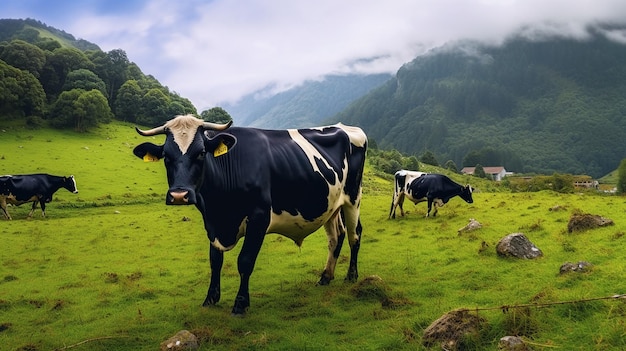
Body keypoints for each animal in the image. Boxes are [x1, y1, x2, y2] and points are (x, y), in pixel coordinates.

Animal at [132, 115, 366, 316]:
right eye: (166, 156)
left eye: (201, 153)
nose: (179, 195)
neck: (219, 210)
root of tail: (344, 127)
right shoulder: (212, 224)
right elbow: (215, 261)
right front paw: (210, 299)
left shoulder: (259, 219)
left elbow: (245, 261)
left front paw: (240, 304)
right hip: (330, 204)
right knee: (336, 236)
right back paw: (325, 277)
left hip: (353, 197)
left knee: (354, 234)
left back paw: (351, 276)